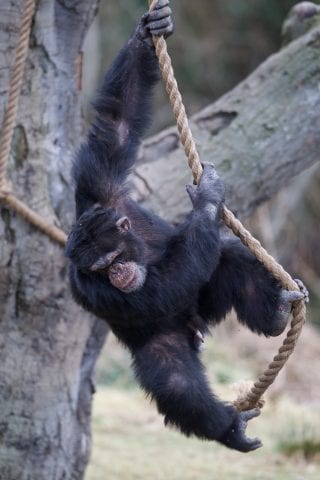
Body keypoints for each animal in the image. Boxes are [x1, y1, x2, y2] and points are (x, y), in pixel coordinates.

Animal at [64, 0, 304, 452]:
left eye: (112, 258)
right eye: (99, 270)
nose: (117, 274)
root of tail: (197, 327)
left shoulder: (99, 186)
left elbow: (116, 126)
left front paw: (148, 31)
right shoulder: (84, 287)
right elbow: (166, 285)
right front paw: (209, 199)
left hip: (208, 301)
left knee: (228, 257)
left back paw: (276, 313)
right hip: (169, 340)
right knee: (176, 384)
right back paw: (228, 427)